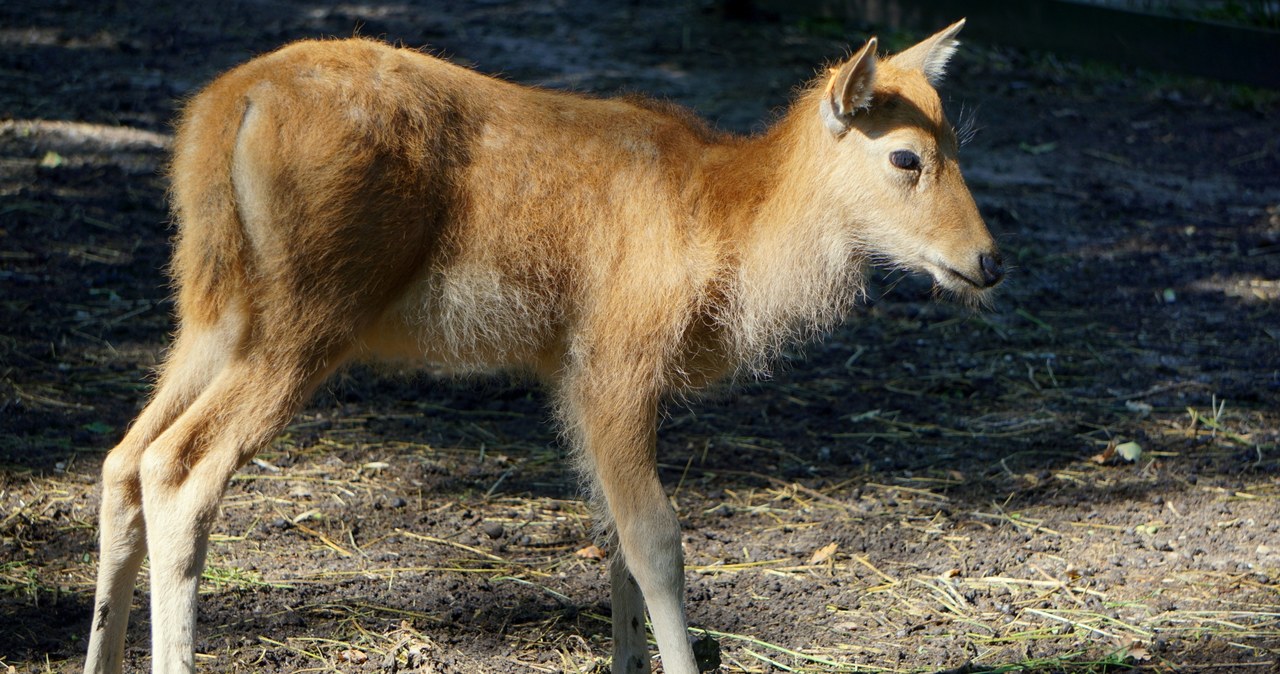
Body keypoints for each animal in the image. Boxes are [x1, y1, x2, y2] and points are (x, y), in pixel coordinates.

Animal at [82, 21, 998, 674]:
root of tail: (221, 114)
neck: (729, 229)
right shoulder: (616, 358)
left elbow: (612, 532)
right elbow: (656, 539)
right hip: (309, 316)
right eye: (906, 156)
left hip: (214, 311)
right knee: (180, 466)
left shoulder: (573, 369)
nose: (989, 260)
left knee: (123, 457)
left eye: (960, 143)